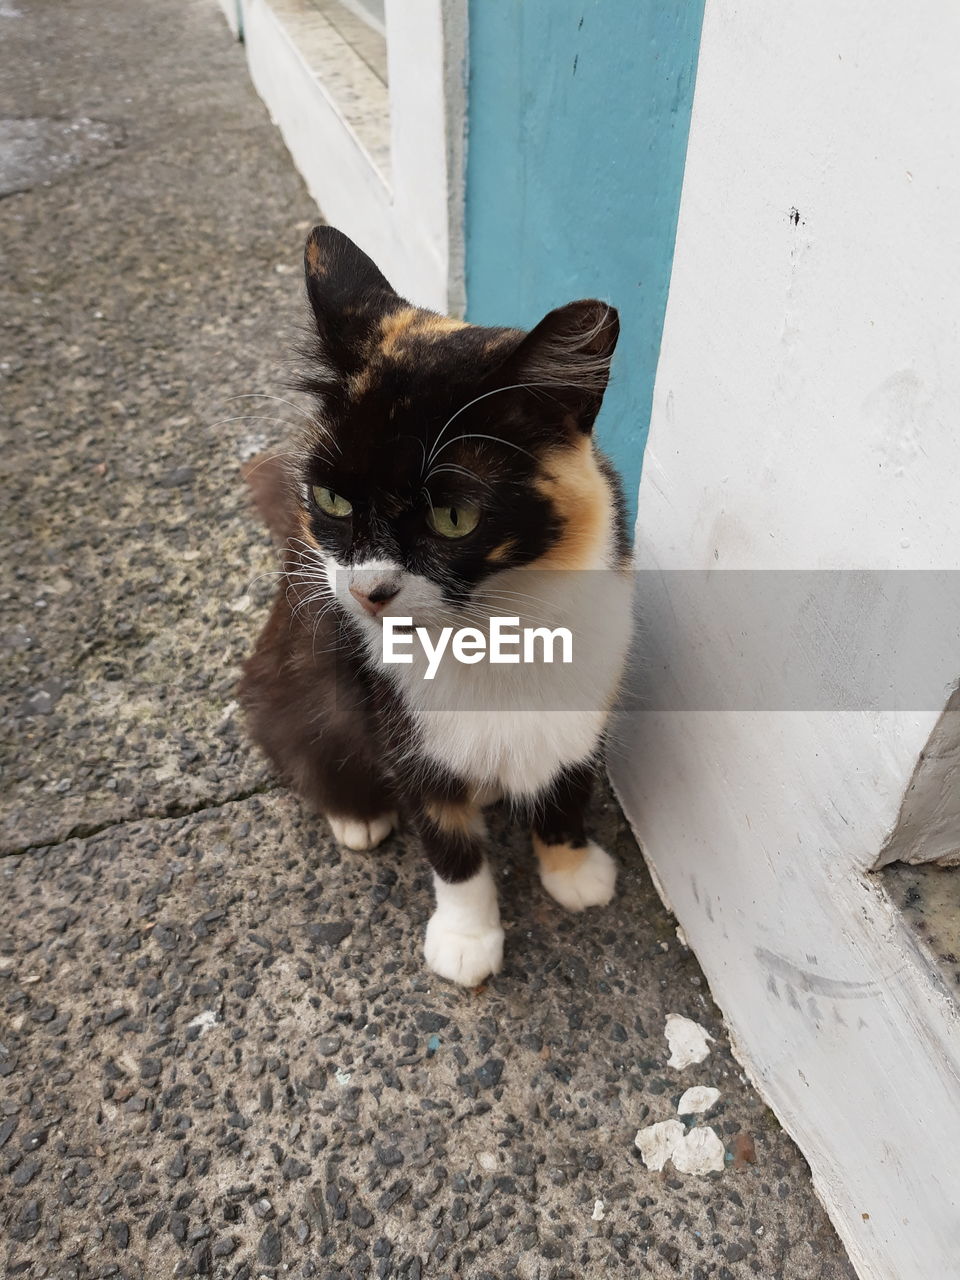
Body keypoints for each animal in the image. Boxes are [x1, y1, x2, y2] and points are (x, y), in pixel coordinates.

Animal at [238, 225, 634, 983]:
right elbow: (448, 844)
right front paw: (467, 937)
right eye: (331, 500)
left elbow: (567, 783)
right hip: (293, 691)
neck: (493, 626)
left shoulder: (588, 684)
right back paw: (356, 813)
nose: (367, 591)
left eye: (453, 517)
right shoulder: (402, 723)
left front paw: (572, 867)